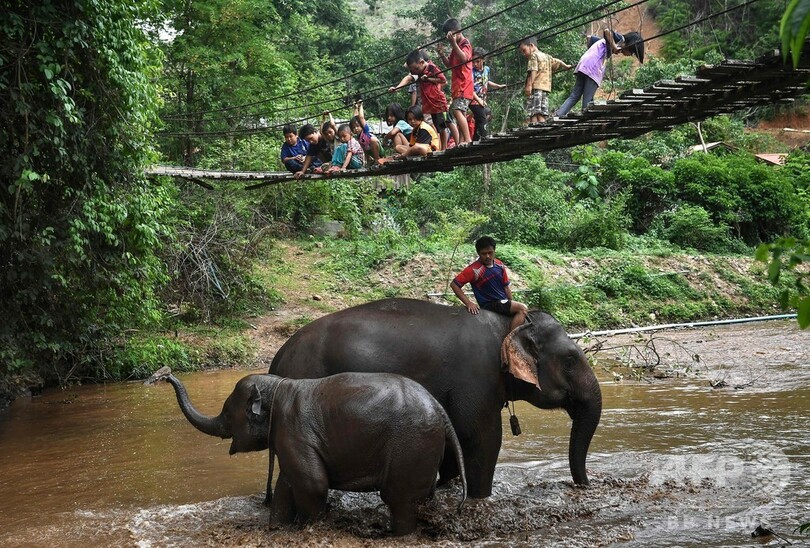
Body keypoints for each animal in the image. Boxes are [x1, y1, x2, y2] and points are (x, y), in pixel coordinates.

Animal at [249, 372, 464, 536]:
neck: (280, 387)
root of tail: (440, 409)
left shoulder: (293, 432)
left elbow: (314, 484)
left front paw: (304, 528)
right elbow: (287, 482)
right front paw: (277, 528)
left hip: (412, 446)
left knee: (400, 500)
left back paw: (396, 535)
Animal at [270, 298, 600, 498]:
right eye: (571, 360)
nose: (584, 485)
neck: (506, 325)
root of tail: (279, 356)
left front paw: (443, 488)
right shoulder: (476, 377)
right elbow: (481, 438)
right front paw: (479, 498)